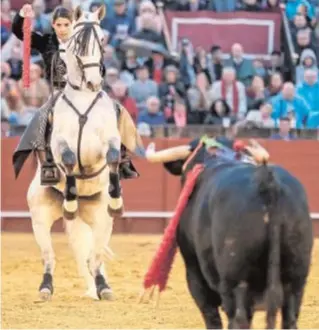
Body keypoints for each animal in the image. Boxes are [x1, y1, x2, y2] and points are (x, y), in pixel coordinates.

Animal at [27, 4, 123, 302]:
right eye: (77, 43)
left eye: (102, 39)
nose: (93, 82)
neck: (83, 98)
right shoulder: (60, 144)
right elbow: (69, 159)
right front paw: (69, 199)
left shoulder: (109, 139)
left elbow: (113, 156)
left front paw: (117, 198)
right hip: (39, 218)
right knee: (49, 256)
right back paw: (45, 287)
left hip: (101, 220)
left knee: (95, 257)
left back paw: (102, 287)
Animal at [164, 150, 314, 330]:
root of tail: (266, 182)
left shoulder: (194, 271)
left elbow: (211, 316)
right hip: (297, 274)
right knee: (290, 317)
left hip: (235, 278)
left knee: (239, 318)